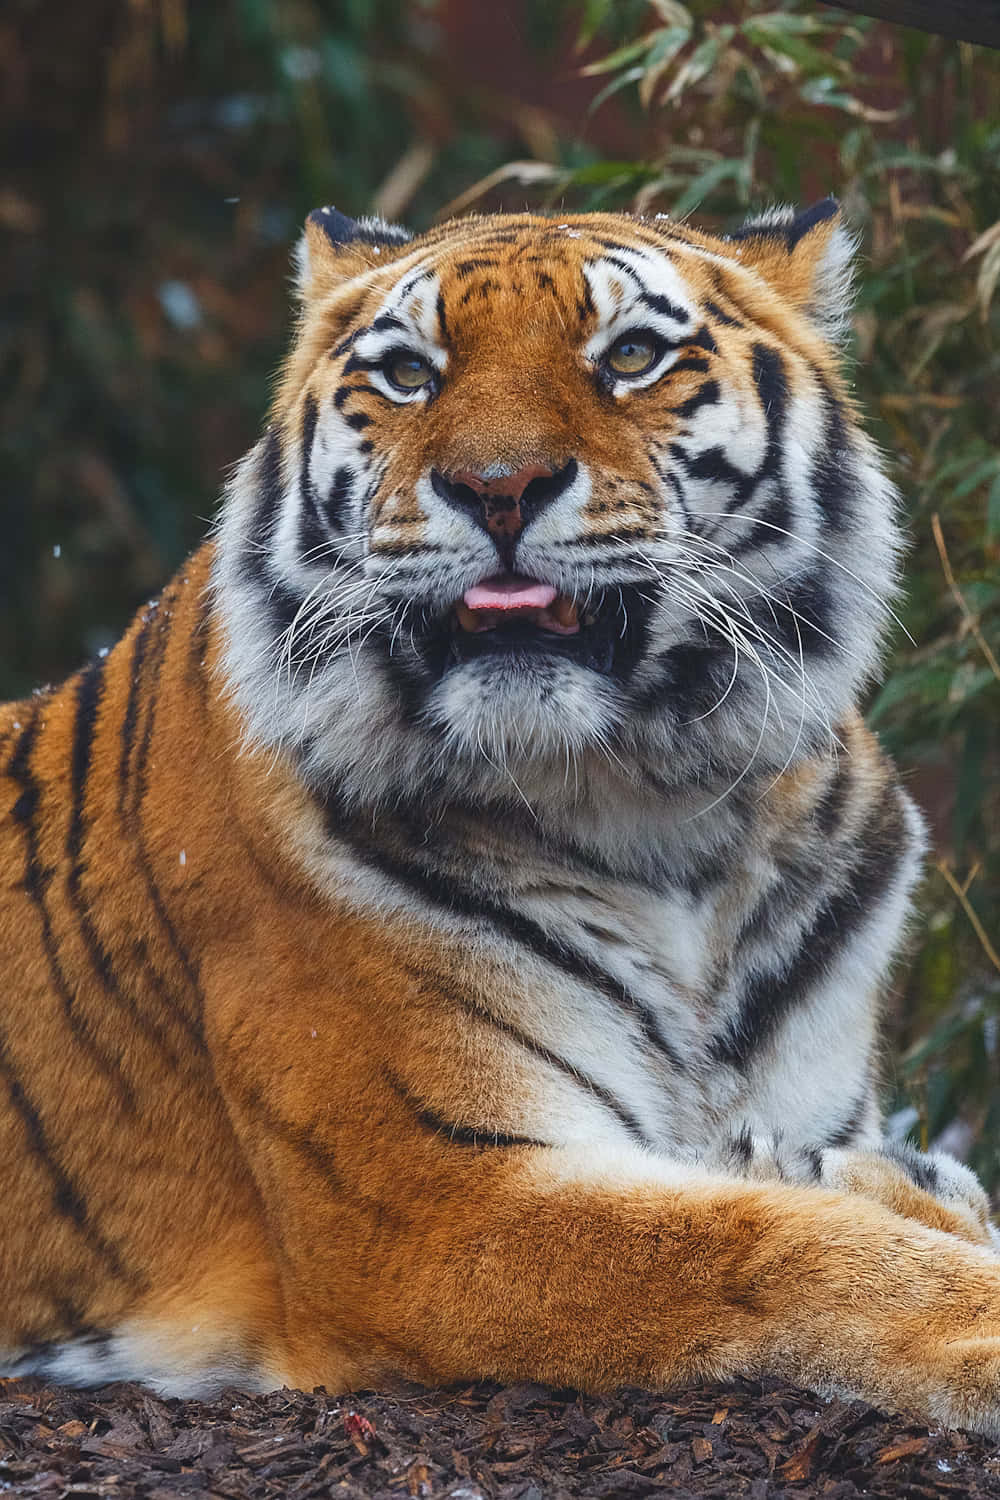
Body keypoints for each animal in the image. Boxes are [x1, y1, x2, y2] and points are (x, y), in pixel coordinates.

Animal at [2, 199, 1000, 1436]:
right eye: (408, 373)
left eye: (630, 356)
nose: (496, 485)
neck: (654, 813)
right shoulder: (437, 1204)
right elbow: (782, 1244)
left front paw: (899, 1180)